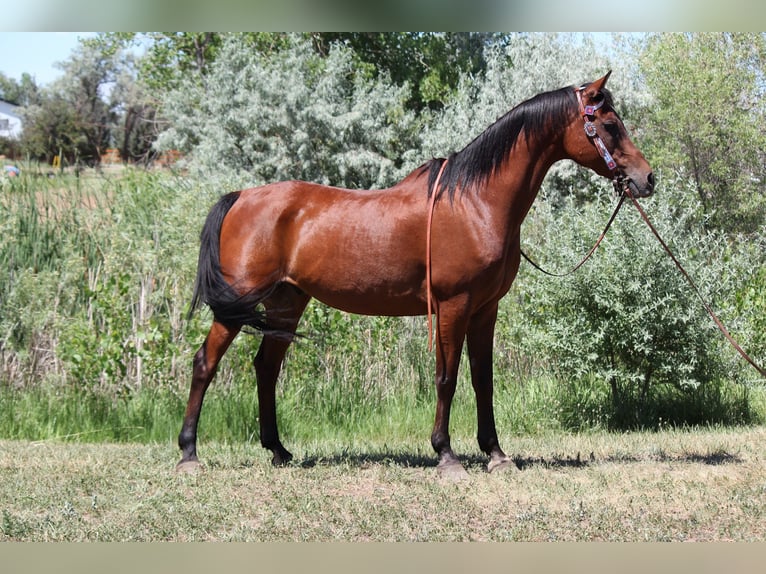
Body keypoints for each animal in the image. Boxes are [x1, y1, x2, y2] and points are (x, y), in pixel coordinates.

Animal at [178, 71, 654, 478]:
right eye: (609, 124)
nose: (647, 178)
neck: (474, 202)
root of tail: (241, 196)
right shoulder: (453, 305)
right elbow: (447, 377)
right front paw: (446, 455)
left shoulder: (485, 309)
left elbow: (483, 378)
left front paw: (496, 454)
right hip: (238, 307)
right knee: (205, 364)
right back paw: (188, 454)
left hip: (286, 302)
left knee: (266, 368)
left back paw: (278, 450)